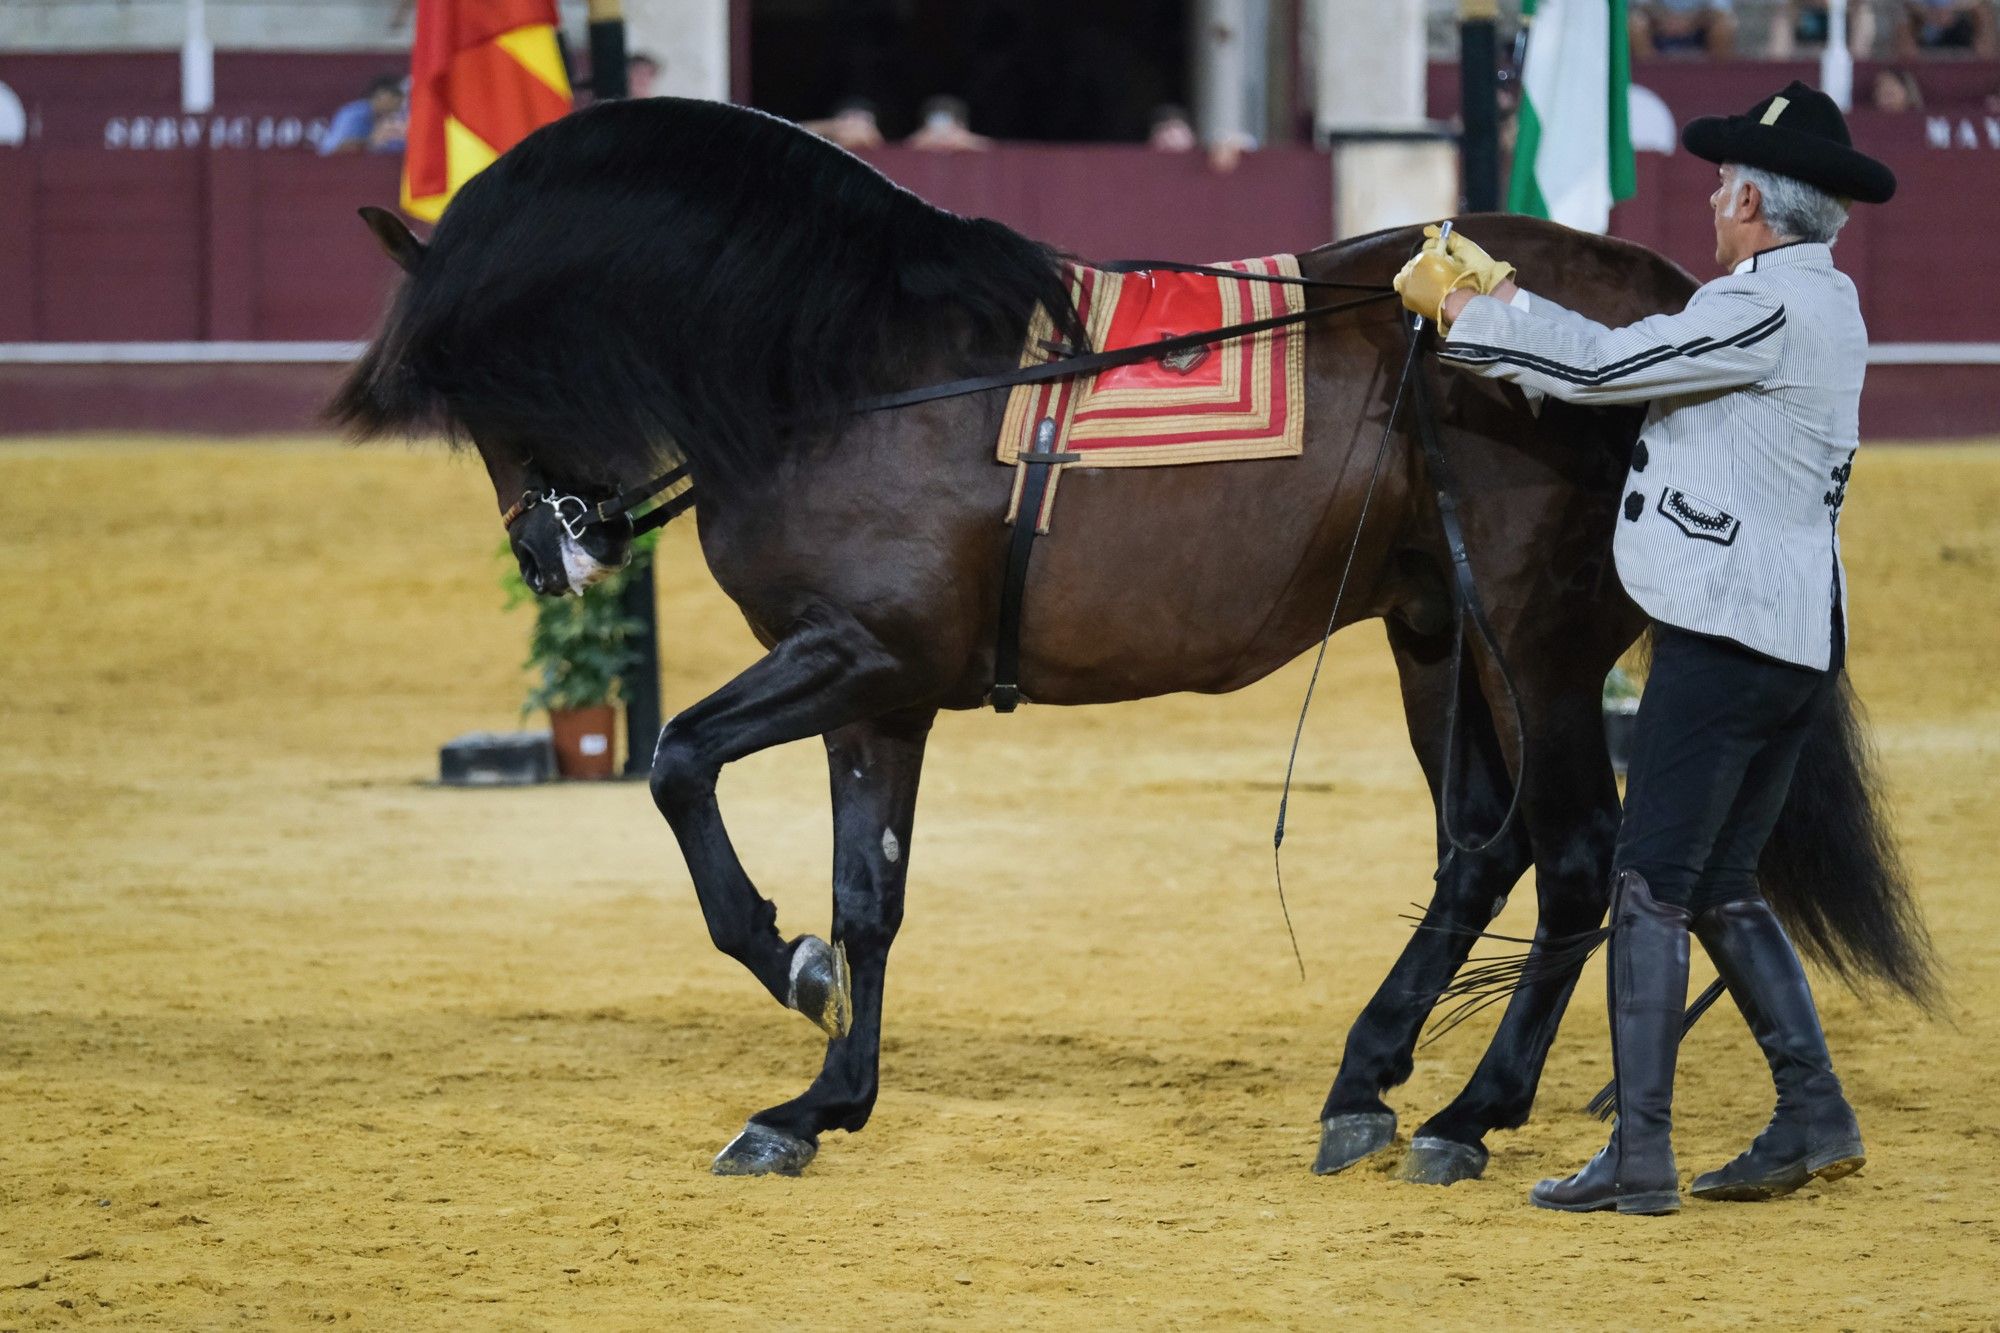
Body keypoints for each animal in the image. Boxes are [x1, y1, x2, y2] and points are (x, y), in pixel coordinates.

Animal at [332, 96, 1936, 1176]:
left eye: (477, 378)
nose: (555, 550)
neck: (857, 365)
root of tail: (1664, 298)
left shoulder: (861, 659)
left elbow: (675, 764)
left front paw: (786, 974)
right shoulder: (879, 696)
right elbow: (869, 896)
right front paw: (821, 1101)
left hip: (1533, 646)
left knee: (1580, 860)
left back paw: (1470, 1112)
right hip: (1438, 633)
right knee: (1480, 852)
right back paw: (1370, 1076)